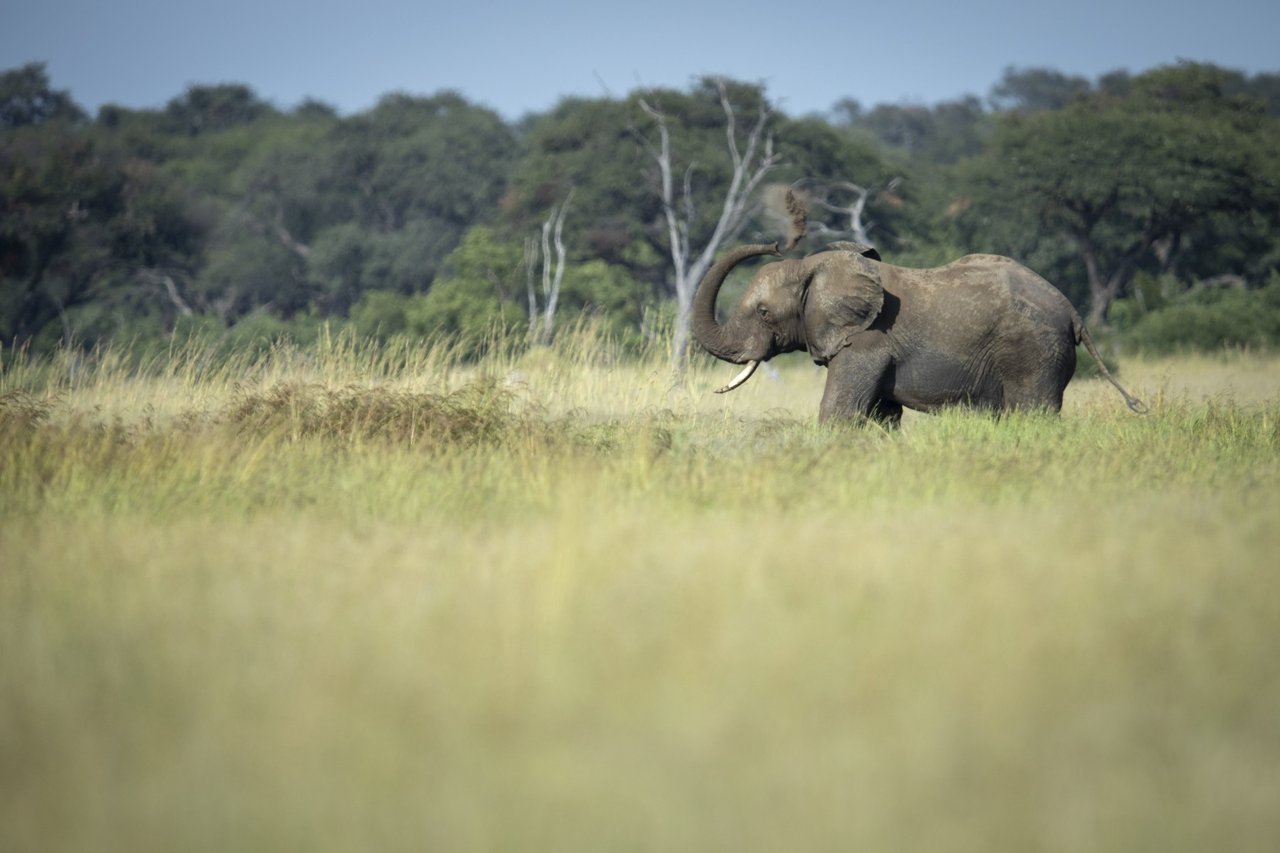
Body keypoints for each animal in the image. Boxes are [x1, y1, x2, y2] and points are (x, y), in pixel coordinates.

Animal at [696, 220, 1146, 420]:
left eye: (763, 312)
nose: (776, 244)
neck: (814, 267)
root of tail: (1073, 312)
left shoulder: (868, 341)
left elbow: (840, 410)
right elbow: (880, 416)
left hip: (1035, 353)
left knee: (1031, 413)